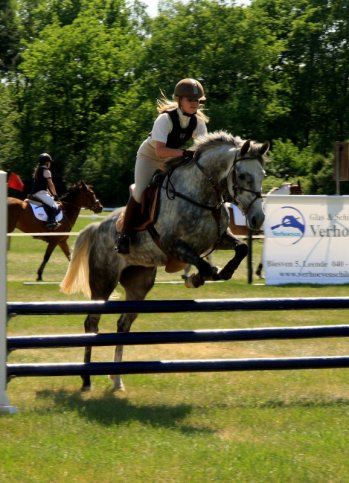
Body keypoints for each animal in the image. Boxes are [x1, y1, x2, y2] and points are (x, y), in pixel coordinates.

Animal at [60, 130, 266, 392]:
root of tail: (97, 228)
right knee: (91, 323)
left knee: (123, 324)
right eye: (241, 175)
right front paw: (196, 278)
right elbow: (203, 264)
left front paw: (223, 272)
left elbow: (241, 248)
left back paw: (117, 379)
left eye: (262, 175)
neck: (202, 195)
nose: (258, 219)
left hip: (139, 284)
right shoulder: (174, 246)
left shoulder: (218, 239)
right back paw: (86, 379)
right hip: (103, 283)